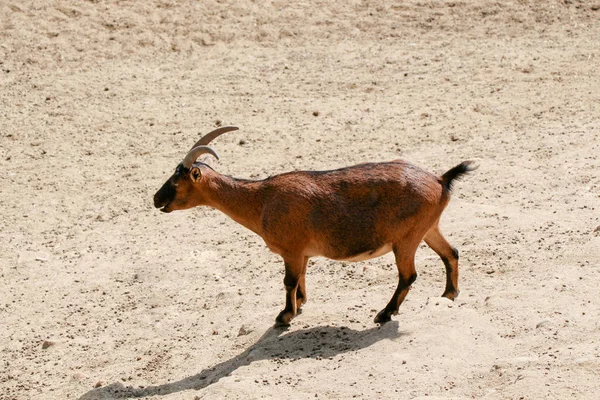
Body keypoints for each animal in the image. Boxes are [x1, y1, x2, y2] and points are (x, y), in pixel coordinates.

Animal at [155, 126, 478, 326]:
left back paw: (384, 314)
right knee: (451, 252)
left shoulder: (292, 250)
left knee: (408, 275)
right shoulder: (302, 254)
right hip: (428, 228)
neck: (262, 199)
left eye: (177, 182)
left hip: (406, 239)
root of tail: (439, 180)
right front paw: (300, 304)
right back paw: (449, 295)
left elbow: (288, 281)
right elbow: (300, 279)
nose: (156, 199)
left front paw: (284, 316)